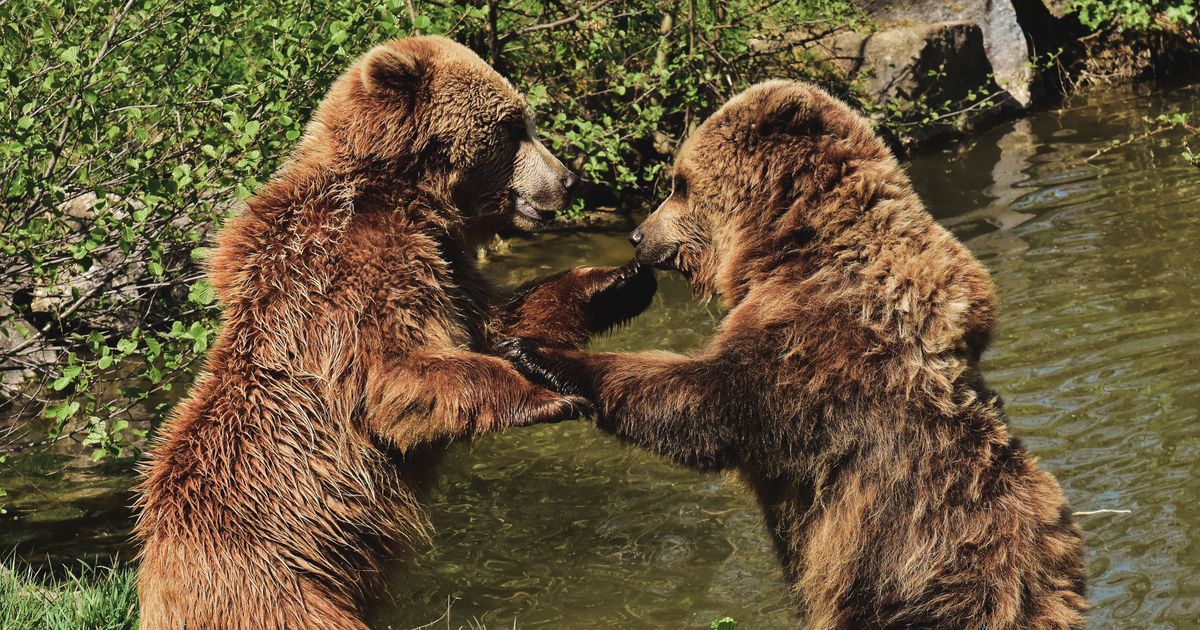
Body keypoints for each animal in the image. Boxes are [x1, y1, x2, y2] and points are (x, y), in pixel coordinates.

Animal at [133, 36, 654, 630]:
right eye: (513, 126)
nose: (568, 179)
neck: (408, 196)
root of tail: (156, 581)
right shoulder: (354, 276)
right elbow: (398, 376)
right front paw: (551, 394)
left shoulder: (448, 268)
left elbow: (499, 319)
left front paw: (621, 280)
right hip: (277, 586)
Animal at [501, 80, 1087, 629]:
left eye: (679, 184)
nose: (638, 234)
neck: (789, 244)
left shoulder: (819, 343)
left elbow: (706, 403)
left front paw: (536, 351)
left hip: (913, 577)